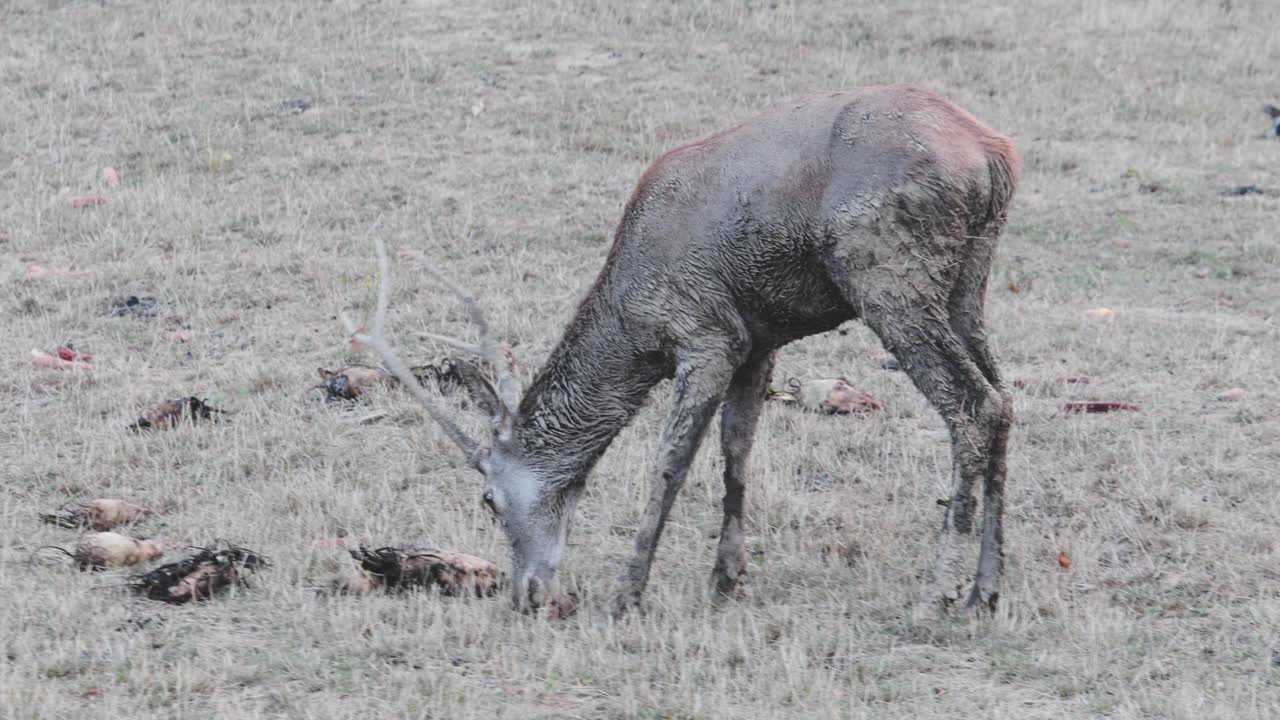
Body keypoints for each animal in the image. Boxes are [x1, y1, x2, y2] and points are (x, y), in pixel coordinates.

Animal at [348, 82, 1018, 609]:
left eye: (488, 500)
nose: (527, 594)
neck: (633, 323)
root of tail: (993, 156)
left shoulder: (705, 334)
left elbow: (670, 462)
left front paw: (627, 590)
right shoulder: (758, 338)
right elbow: (737, 450)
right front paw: (725, 579)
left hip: (889, 277)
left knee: (971, 406)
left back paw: (936, 594)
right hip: (968, 282)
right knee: (1005, 402)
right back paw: (985, 590)